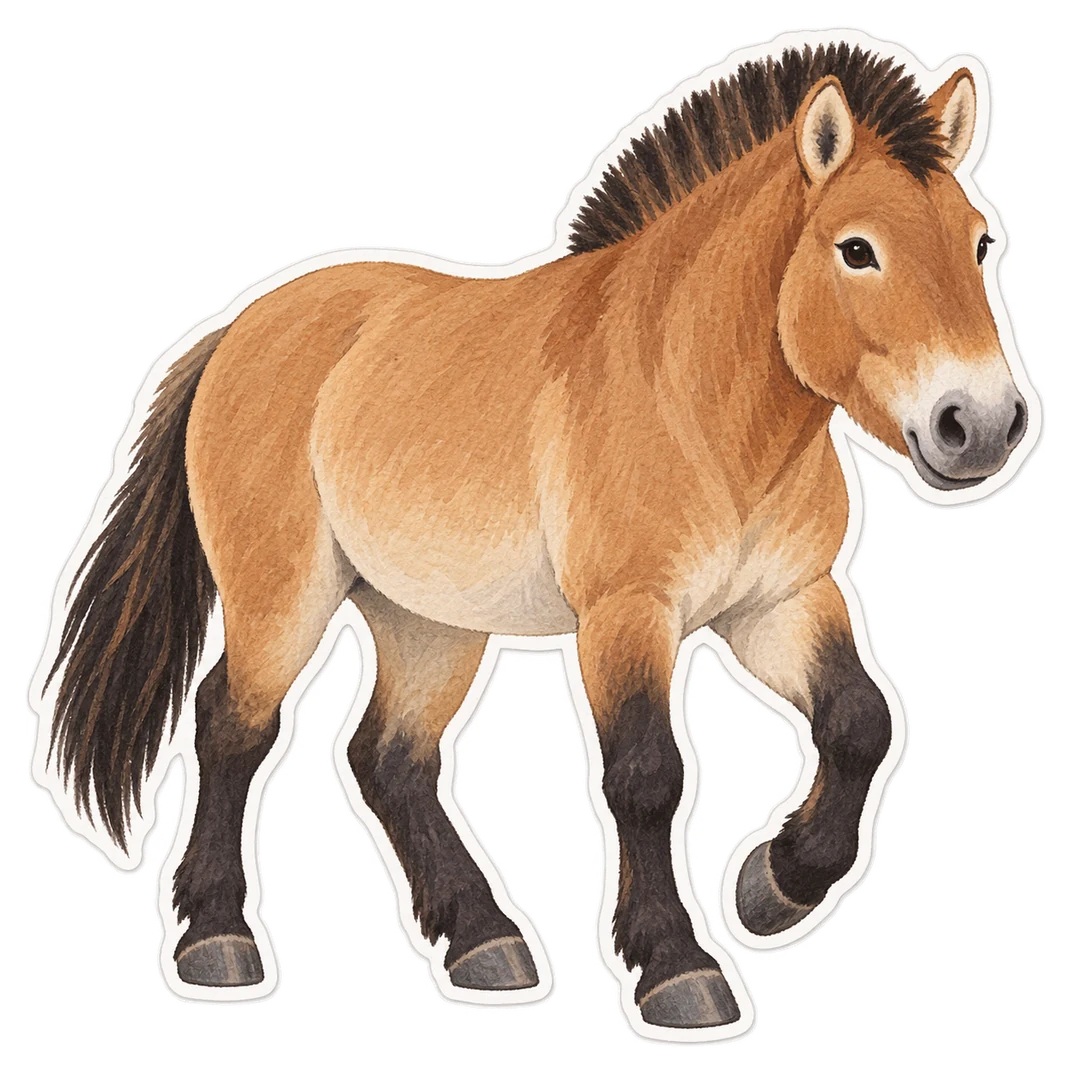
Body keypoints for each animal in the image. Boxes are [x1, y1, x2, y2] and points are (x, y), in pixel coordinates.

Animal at [40, 43, 1028, 1030]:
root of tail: (238, 334)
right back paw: (217, 942)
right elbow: (647, 775)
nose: (979, 426)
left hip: (427, 618)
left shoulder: (782, 599)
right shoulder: (627, 613)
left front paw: (771, 886)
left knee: (388, 758)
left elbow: (862, 723)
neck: (693, 398)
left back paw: (485, 944)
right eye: (856, 249)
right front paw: (677, 969)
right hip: (282, 598)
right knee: (230, 726)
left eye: (980, 241)